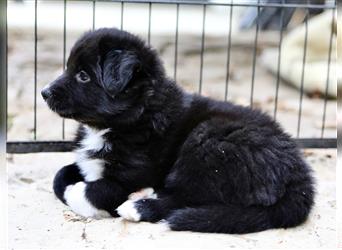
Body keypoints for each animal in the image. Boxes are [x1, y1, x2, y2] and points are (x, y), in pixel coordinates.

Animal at [41, 28, 314, 233]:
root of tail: (298, 175)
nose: (44, 92)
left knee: (187, 197)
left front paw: (79, 193)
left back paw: (139, 206)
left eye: (83, 76)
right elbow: (60, 175)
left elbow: (99, 190)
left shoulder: (134, 173)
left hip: (207, 142)